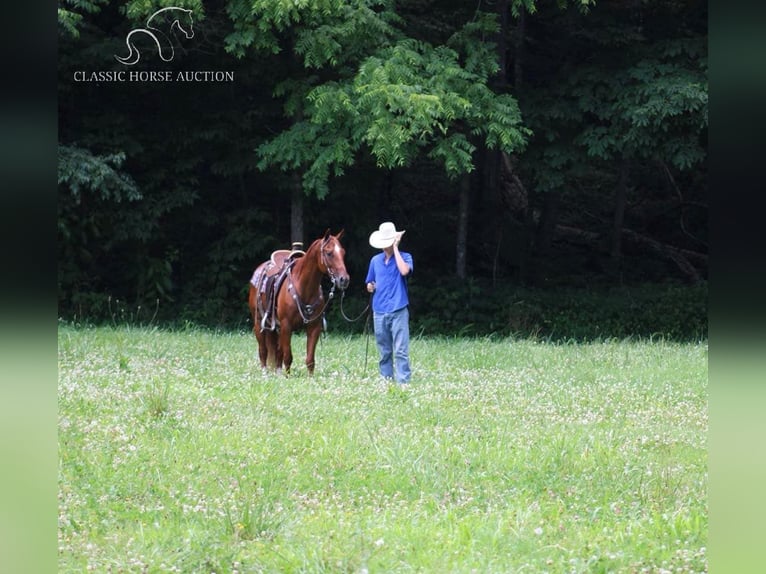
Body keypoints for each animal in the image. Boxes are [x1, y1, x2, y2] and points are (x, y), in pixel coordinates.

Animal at [249, 231, 352, 378]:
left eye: (342, 252)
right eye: (329, 253)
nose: (344, 279)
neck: (303, 287)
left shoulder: (314, 327)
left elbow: (310, 359)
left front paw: (310, 378)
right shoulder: (286, 326)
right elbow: (288, 356)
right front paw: (287, 378)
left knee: (277, 352)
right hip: (259, 322)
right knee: (263, 350)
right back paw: (265, 374)